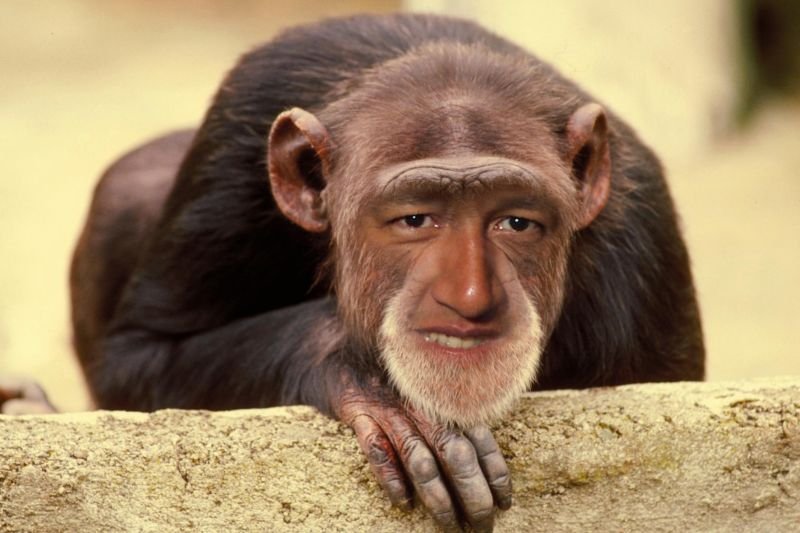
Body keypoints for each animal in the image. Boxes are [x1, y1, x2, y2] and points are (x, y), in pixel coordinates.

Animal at [3, 14, 704, 531]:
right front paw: (369, 378)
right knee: (131, 181)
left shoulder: (640, 250)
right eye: (415, 219)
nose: (468, 296)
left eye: (516, 222)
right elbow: (140, 354)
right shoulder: (234, 141)